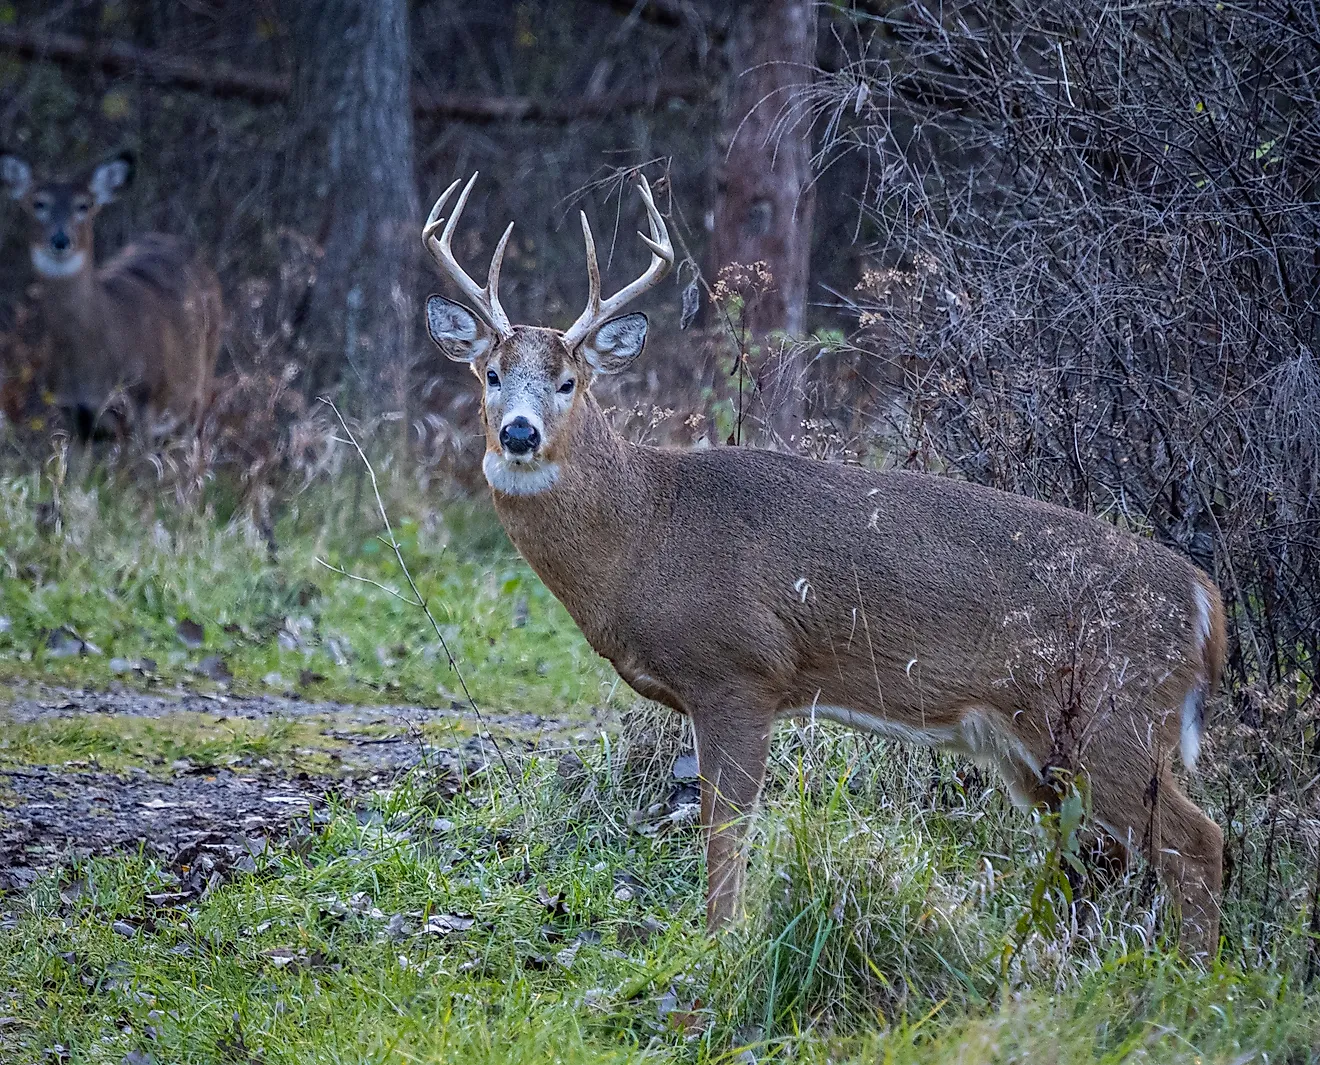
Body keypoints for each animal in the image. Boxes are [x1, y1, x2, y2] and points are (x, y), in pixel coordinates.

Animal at [0, 151, 223, 442]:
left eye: (84, 205)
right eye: (39, 203)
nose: (60, 240)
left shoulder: (144, 406)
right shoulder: (75, 414)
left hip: (197, 386)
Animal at [421, 172, 1227, 957]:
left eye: (569, 381)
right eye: (490, 373)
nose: (518, 434)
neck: (645, 531)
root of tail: (1203, 599)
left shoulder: (739, 669)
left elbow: (725, 827)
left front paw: (718, 945)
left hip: (1117, 713)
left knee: (1197, 841)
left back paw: (1193, 974)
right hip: (1036, 743)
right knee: (1093, 852)